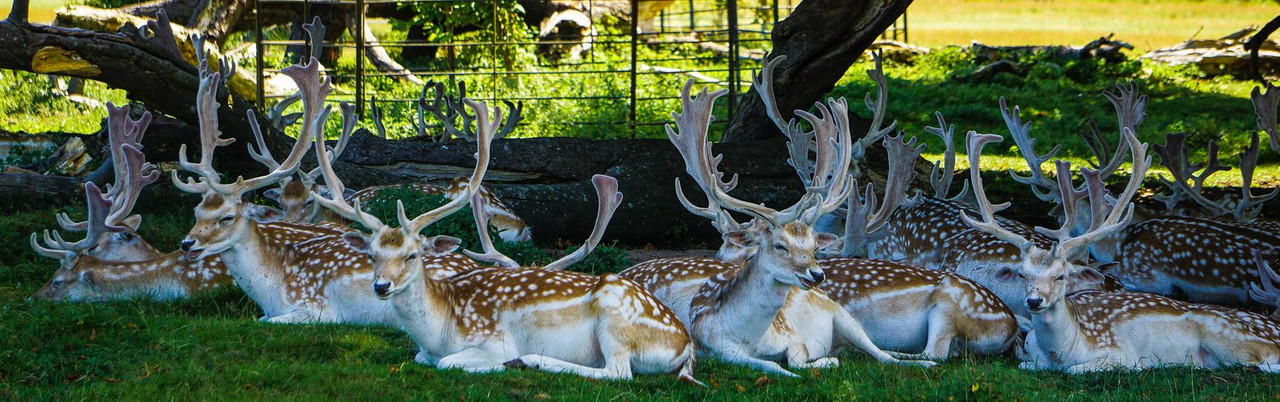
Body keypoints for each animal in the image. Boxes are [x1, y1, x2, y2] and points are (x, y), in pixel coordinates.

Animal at [312, 96, 698, 382]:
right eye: (372, 254)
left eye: (412, 254)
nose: (381, 286)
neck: (439, 332)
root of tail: (686, 343)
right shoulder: (424, 352)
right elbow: (424, 359)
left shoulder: (492, 339)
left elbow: (451, 362)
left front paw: (507, 363)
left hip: (616, 319)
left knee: (619, 372)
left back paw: (532, 360)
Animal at [964, 129, 1280, 374]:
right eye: (1022, 274)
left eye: (1061, 276)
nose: (1033, 301)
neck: (1060, 351)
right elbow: (1025, 363)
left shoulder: (1119, 354)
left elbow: (1078, 369)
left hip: (1229, 338)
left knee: (1260, 362)